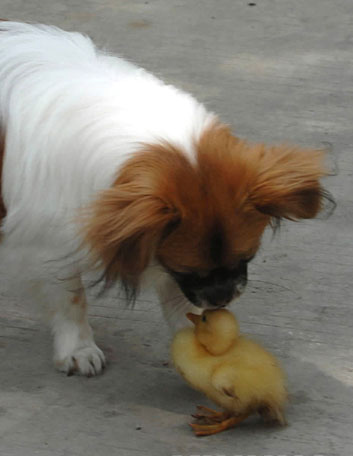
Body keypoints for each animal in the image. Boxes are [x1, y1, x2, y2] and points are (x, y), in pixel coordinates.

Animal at [0, 21, 330, 376]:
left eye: (246, 258)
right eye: (191, 271)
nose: (222, 298)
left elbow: (181, 306)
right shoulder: (48, 245)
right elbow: (70, 300)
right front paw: (78, 349)